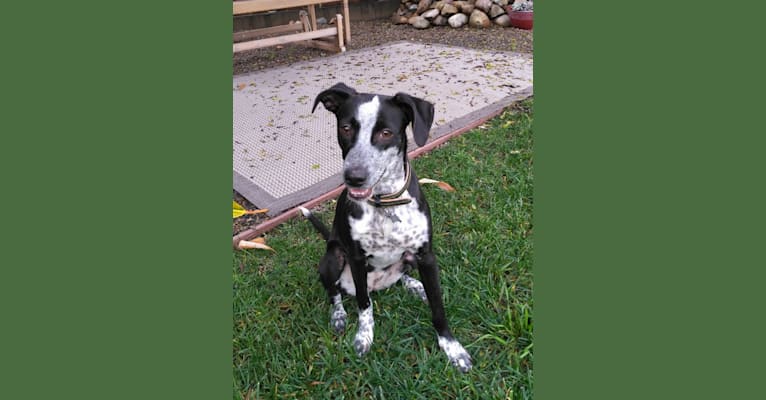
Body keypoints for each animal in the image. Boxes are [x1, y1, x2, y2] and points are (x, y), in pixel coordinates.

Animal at [302, 83, 474, 372]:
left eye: (386, 133)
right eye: (346, 128)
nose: (354, 177)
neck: (385, 202)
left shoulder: (426, 256)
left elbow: (438, 307)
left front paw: (452, 347)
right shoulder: (356, 259)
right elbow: (363, 304)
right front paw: (364, 337)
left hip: (408, 259)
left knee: (402, 274)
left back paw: (415, 285)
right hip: (333, 257)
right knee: (335, 291)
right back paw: (338, 315)